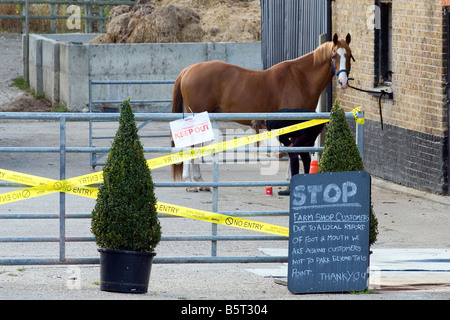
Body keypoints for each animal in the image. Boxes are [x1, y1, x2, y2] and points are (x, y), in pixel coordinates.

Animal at [171, 33, 354, 190]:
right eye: (334, 56)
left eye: (349, 55)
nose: (343, 82)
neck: (301, 79)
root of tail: (187, 70)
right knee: (190, 145)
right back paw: (192, 182)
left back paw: (198, 181)